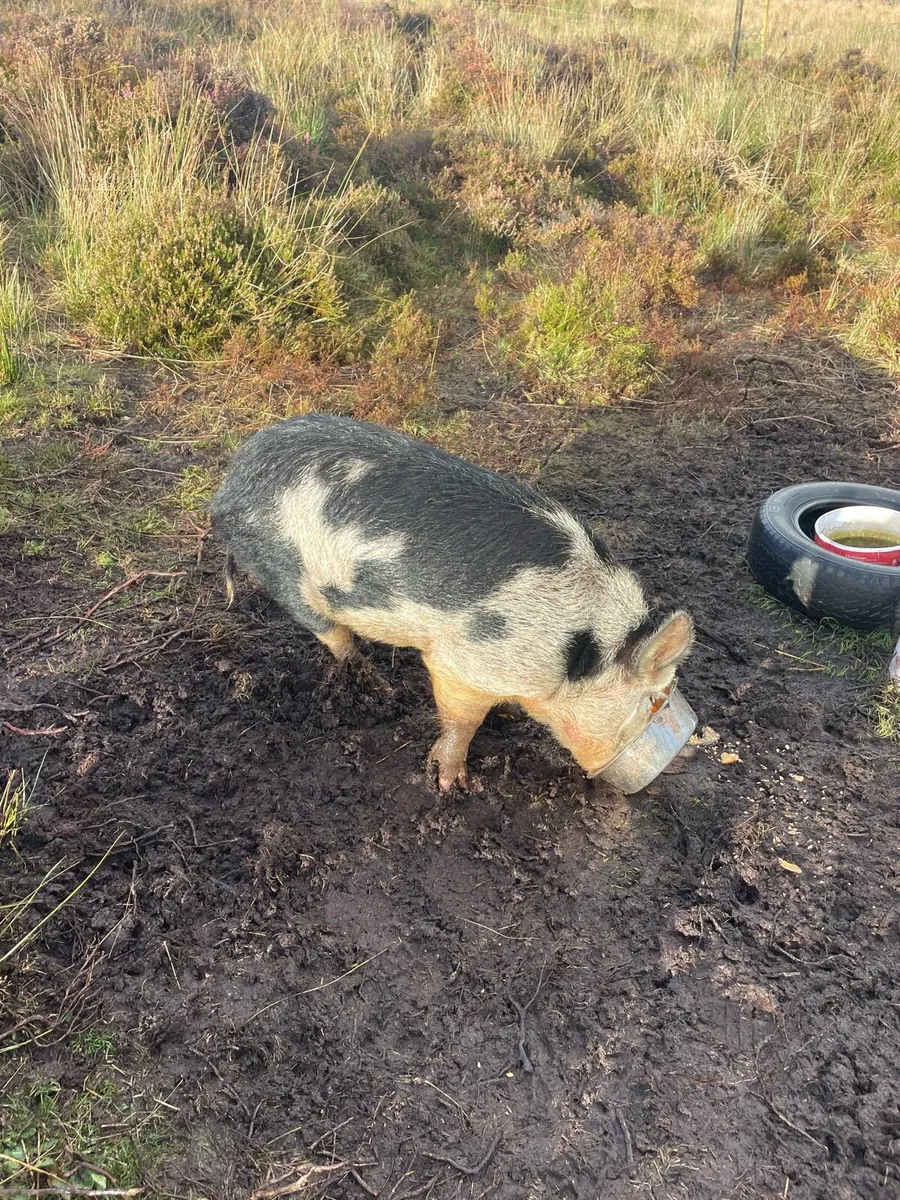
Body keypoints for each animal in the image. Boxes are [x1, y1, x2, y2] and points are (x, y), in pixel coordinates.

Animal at [210, 414, 693, 790]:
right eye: (654, 700)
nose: (679, 754)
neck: (576, 651)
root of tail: (227, 489)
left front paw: (507, 716)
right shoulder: (462, 661)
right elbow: (462, 719)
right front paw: (450, 783)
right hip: (285, 574)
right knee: (333, 635)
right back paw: (377, 685)